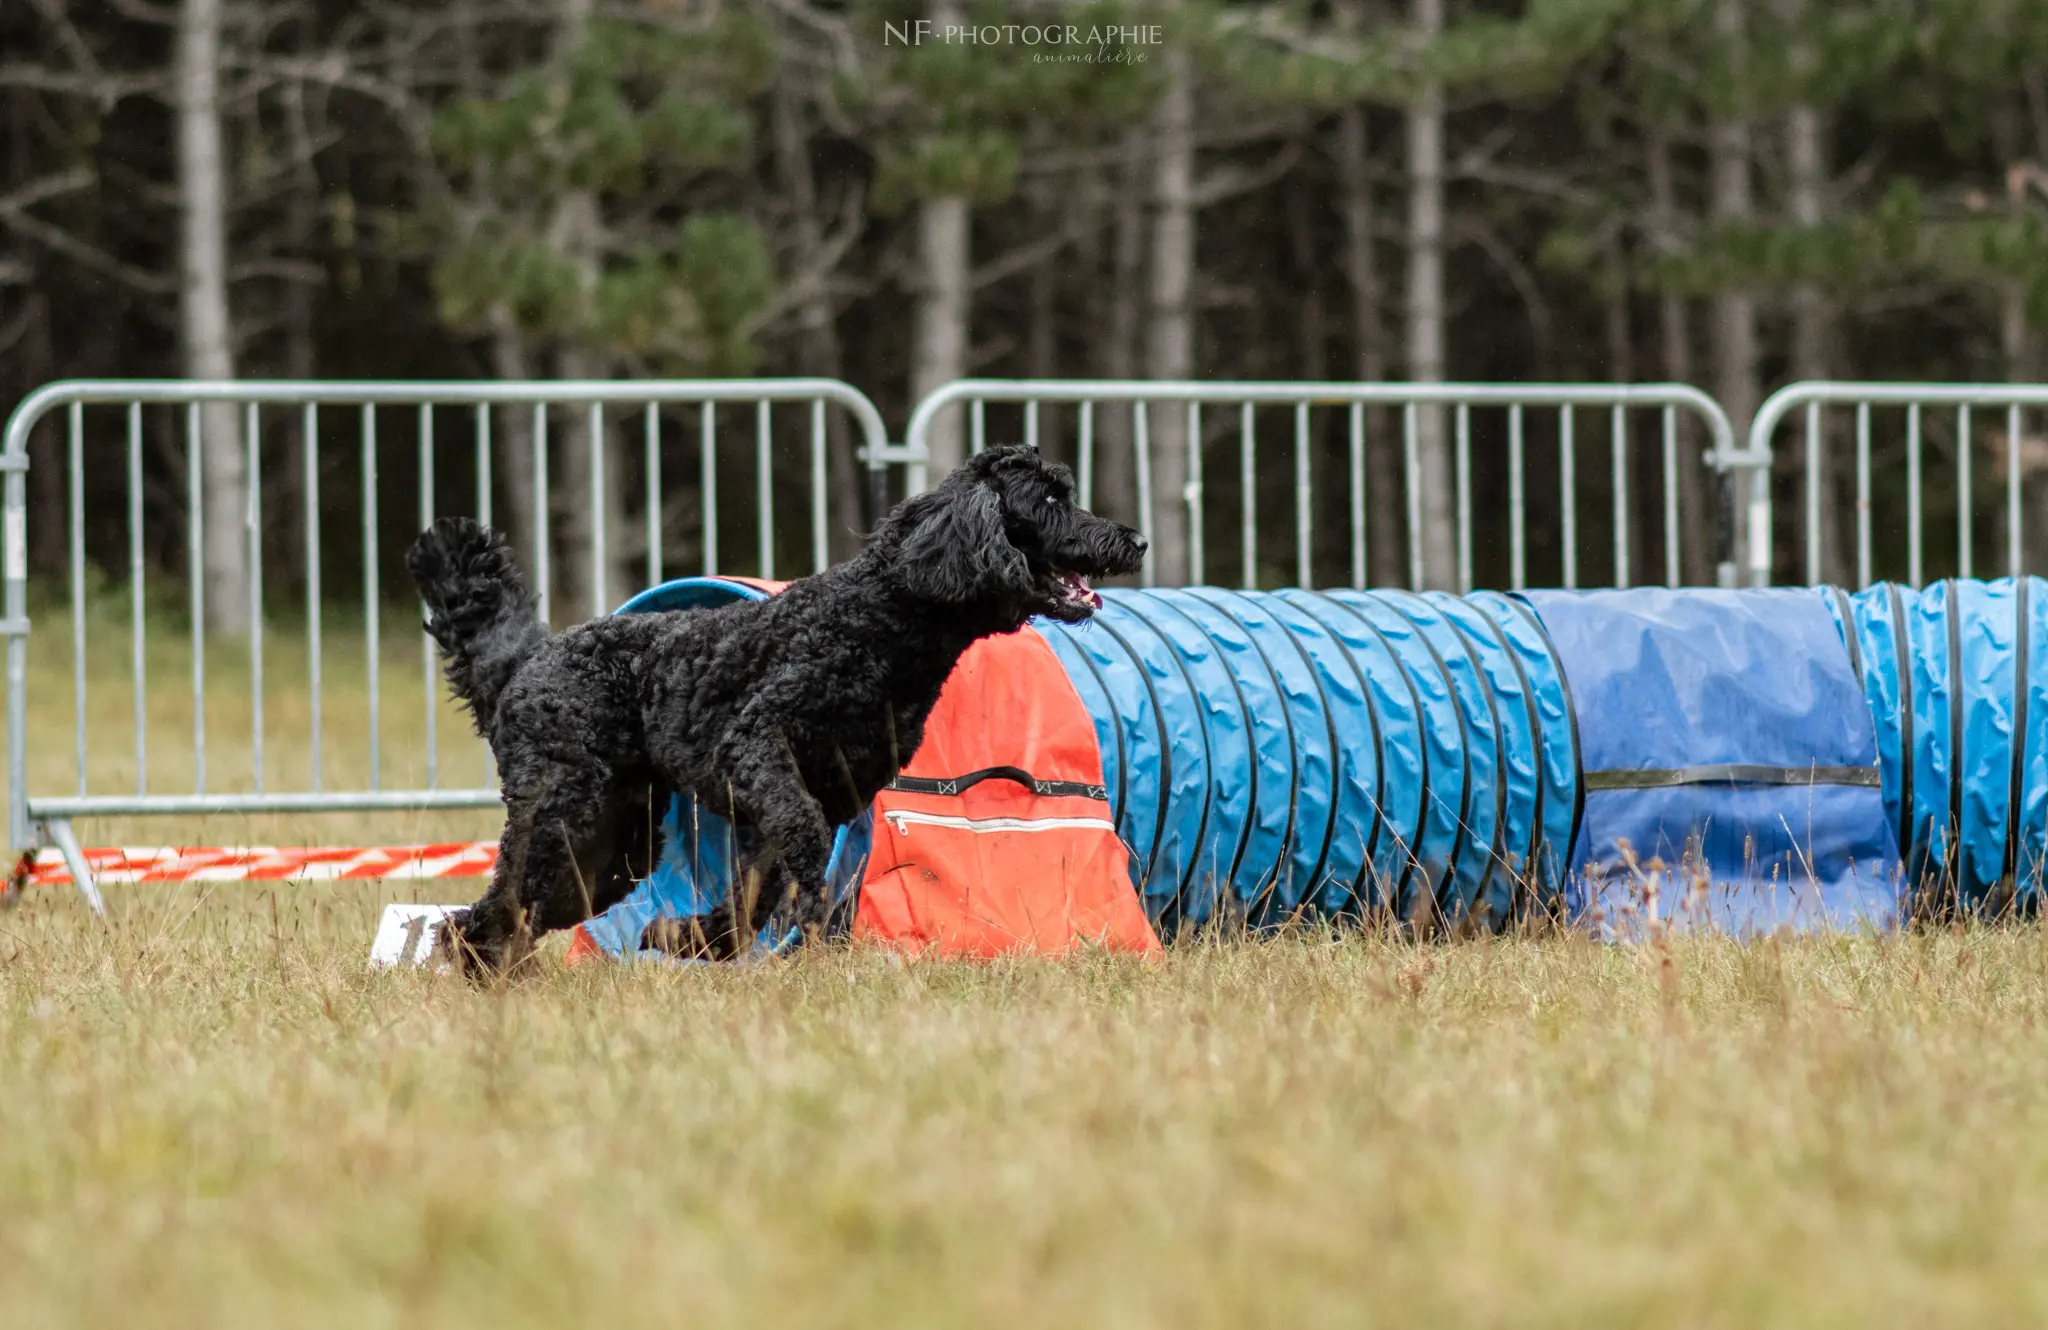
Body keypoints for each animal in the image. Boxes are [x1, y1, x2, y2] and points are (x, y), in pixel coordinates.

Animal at [411, 440, 1155, 971]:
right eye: (1049, 498)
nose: (1136, 540)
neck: (880, 622)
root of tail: (526, 662)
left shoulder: (825, 791)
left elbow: (754, 891)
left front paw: (688, 936)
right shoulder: (759, 751)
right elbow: (801, 847)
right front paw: (785, 926)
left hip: (617, 838)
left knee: (527, 901)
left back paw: (485, 964)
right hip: (565, 807)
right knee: (507, 895)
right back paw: (473, 965)